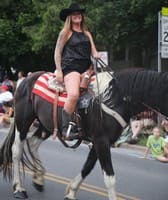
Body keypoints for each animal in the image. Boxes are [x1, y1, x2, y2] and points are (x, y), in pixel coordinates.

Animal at [0, 68, 168, 199]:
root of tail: (26, 80)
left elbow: (87, 167)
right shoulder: (101, 140)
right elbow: (109, 176)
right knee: (17, 150)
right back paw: (19, 189)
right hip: (23, 122)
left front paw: (71, 192)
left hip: (47, 125)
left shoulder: (101, 141)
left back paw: (39, 179)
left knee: (33, 143)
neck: (115, 98)